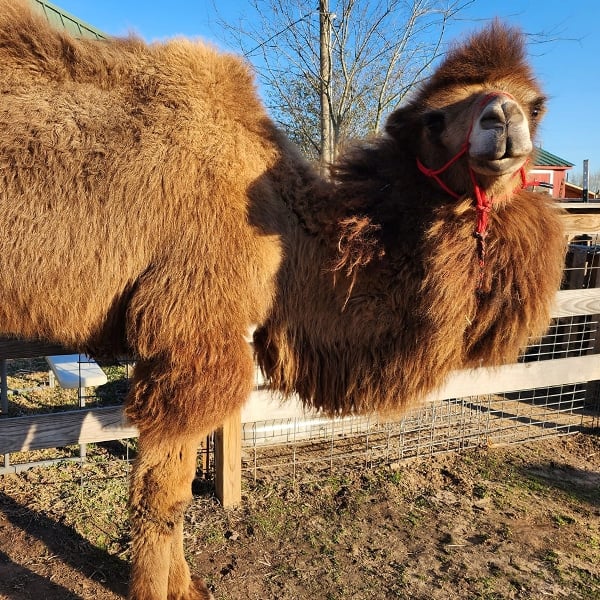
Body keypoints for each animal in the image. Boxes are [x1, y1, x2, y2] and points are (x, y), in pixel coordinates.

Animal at [0, 2, 568, 596]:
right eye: (434, 120)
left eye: (534, 106)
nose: (502, 119)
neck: (287, 236)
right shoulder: (195, 334)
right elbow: (165, 493)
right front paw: (164, 590)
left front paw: (184, 585)